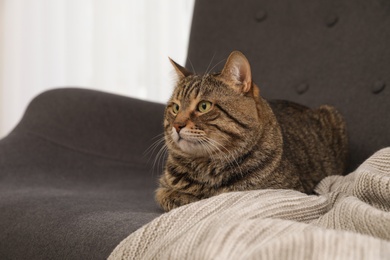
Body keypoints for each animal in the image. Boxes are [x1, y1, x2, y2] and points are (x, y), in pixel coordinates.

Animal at [155, 50, 348, 211]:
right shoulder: (163, 188)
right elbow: (174, 196)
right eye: (175, 108)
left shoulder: (290, 192)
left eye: (204, 106)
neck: (208, 168)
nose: (177, 125)